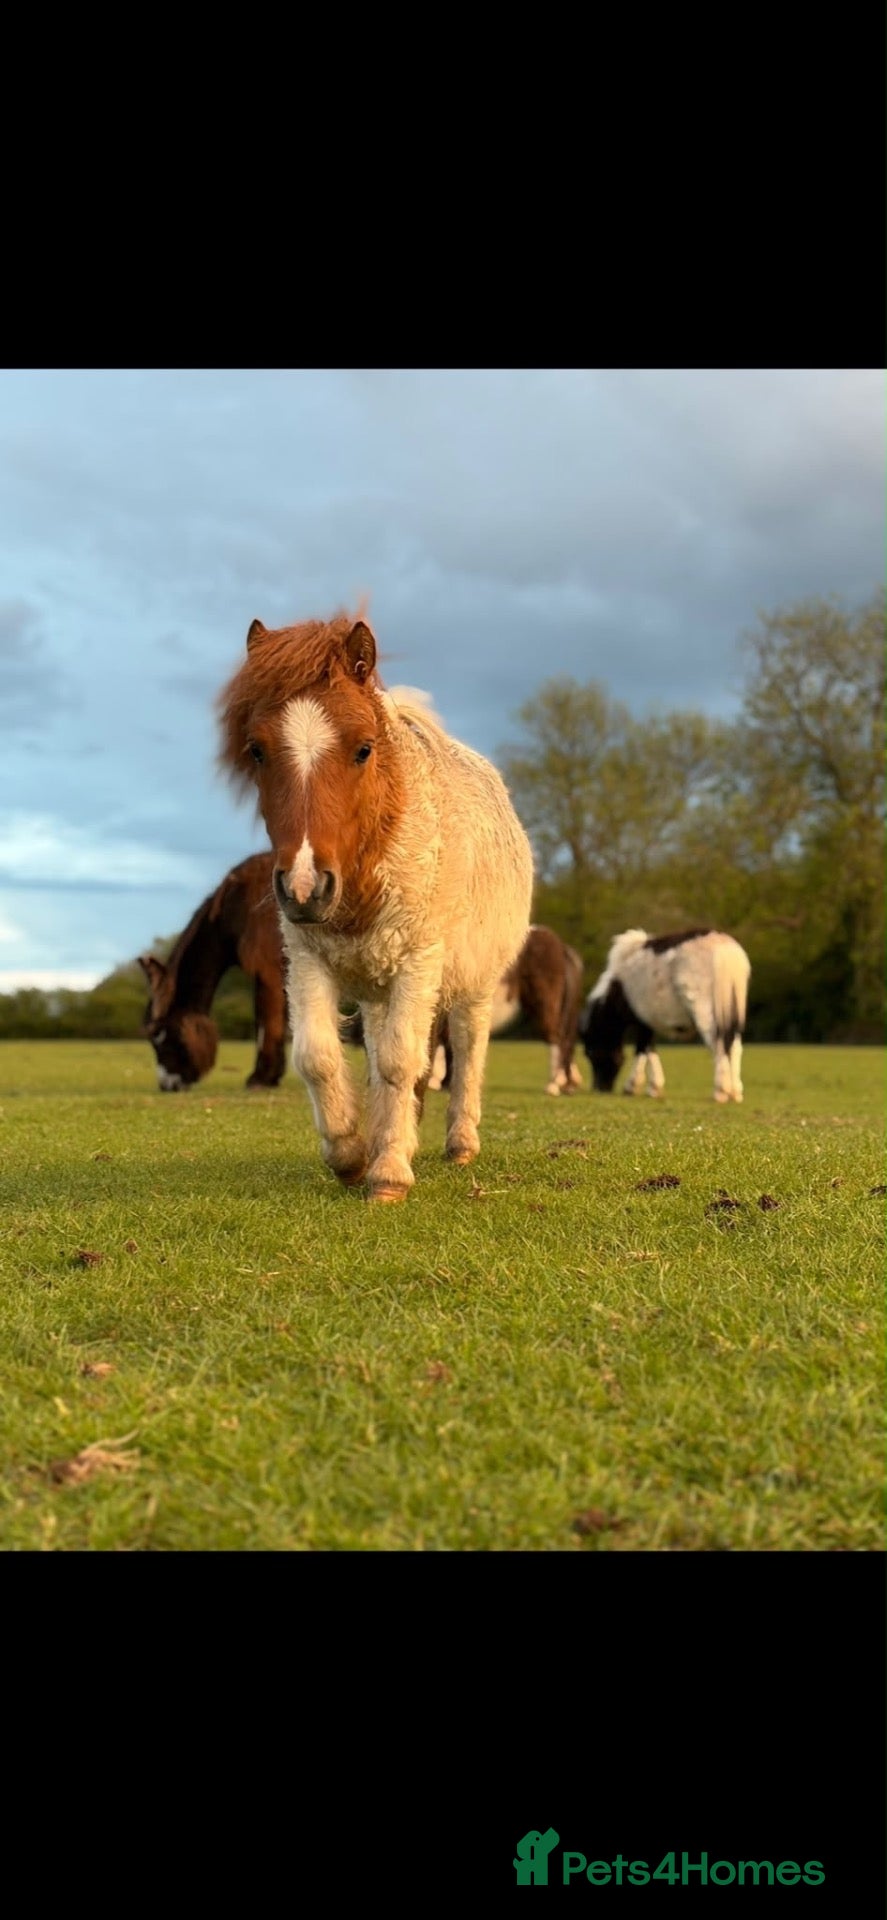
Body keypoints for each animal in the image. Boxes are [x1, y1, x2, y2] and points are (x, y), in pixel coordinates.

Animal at [139, 851, 288, 1092]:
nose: (167, 1086)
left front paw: (261, 1078)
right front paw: (272, 1076)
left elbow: (266, 1021)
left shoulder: (268, 970)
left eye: (157, 1036)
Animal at [217, 609, 534, 1201]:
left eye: (363, 748)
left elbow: (401, 1061)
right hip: (378, 990)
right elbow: (320, 1058)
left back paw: (460, 1143)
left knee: (467, 1051)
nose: (304, 886)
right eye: (257, 750)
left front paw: (387, 1172)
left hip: (472, 986)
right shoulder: (309, 961)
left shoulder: (418, 962)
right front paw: (350, 1155)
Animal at [580, 927, 751, 1102]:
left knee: (720, 1044)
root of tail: (725, 949)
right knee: (734, 1046)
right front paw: (653, 1088)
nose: (599, 1088)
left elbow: (643, 1049)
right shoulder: (648, 1021)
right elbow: (649, 1049)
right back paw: (735, 1092)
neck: (620, 987)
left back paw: (721, 1091)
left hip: (705, 1013)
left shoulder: (643, 1021)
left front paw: (635, 1086)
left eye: (591, 1053)